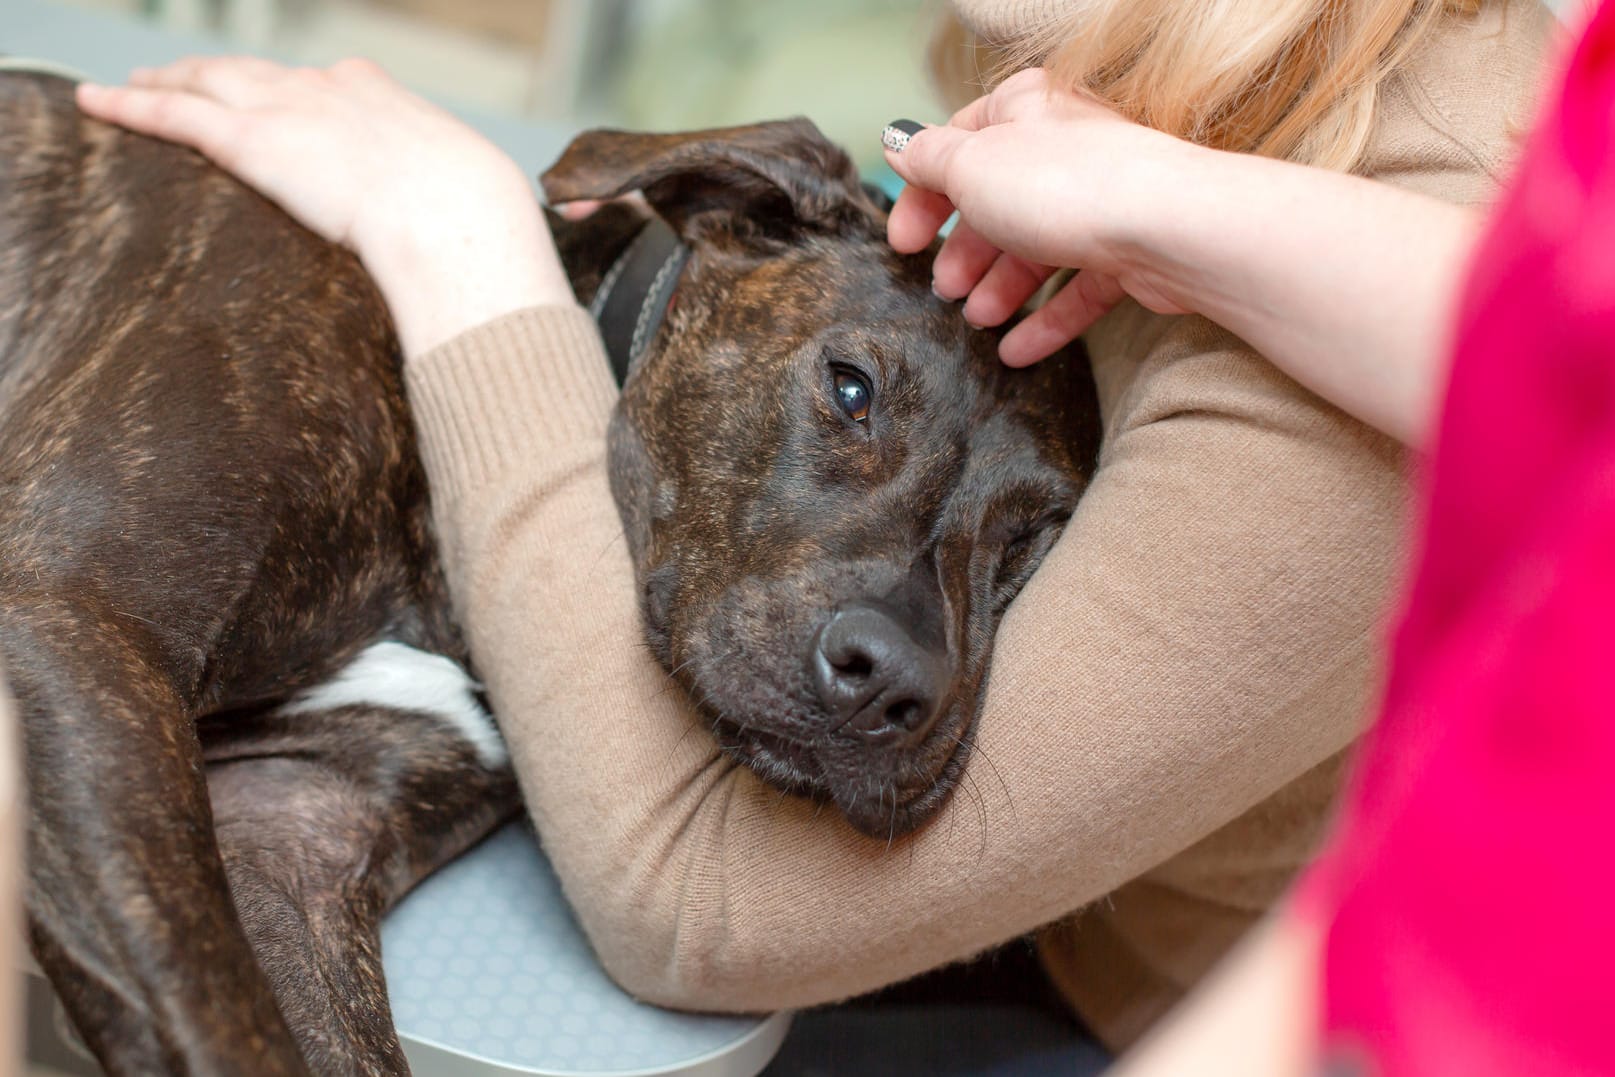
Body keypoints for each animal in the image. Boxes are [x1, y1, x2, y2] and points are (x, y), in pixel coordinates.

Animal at [0, 71, 1098, 1072]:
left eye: (1033, 536)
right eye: (851, 387)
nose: (894, 685)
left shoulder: (288, 832)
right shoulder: (75, 626)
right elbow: (225, 1026)